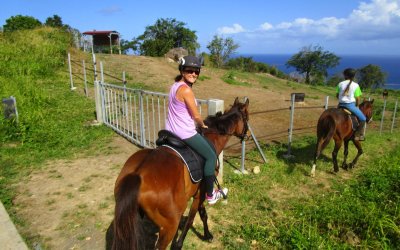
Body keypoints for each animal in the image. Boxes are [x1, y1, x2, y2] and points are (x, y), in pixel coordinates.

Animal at [108, 96, 248, 249]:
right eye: (247, 117)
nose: (246, 135)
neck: (212, 138)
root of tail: (138, 175)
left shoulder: (198, 193)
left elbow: (202, 214)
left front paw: (207, 235)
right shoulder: (200, 194)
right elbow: (192, 219)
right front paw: (186, 241)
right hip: (169, 225)